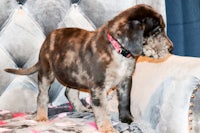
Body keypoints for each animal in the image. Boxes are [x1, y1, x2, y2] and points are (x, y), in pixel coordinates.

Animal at [5, 4, 173, 133]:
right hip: (47, 72)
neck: (119, 50)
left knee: (70, 92)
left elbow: (125, 102)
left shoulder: (125, 81)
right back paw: (41, 116)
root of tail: (47, 39)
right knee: (42, 96)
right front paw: (107, 128)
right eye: (157, 31)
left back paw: (82, 108)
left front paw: (127, 119)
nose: (171, 48)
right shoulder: (98, 87)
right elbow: (102, 110)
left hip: (73, 73)